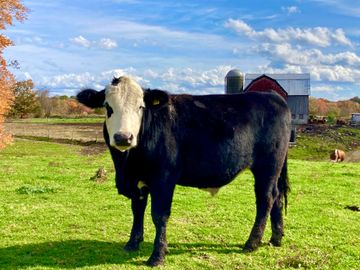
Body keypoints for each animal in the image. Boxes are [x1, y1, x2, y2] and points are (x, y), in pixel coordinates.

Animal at [77, 76, 292, 266]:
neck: (127, 164)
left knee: (266, 199)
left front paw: (157, 255)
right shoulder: (138, 180)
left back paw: (252, 243)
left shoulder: (163, 179)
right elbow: (137, 210)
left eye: (141, 107)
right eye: (108, 107)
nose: (123, 137)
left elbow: (159, 215)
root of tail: (272, 95)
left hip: (268, 167)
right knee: (277, 197)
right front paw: (132, 243)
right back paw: (276, 238)